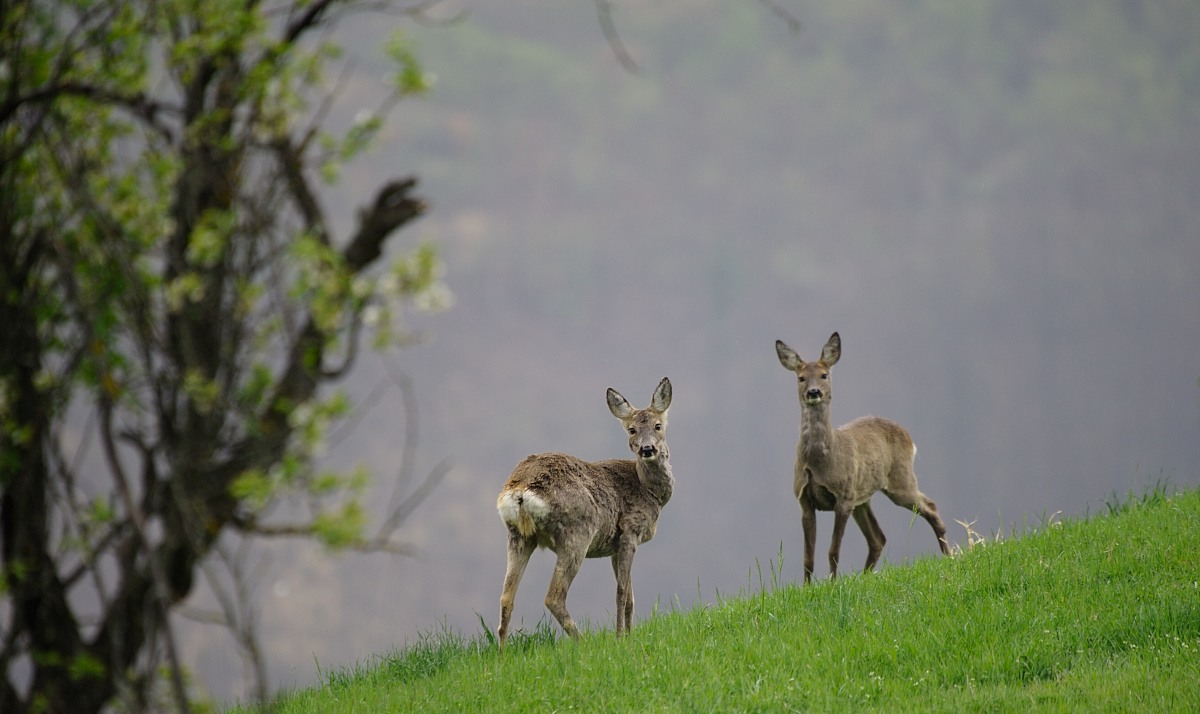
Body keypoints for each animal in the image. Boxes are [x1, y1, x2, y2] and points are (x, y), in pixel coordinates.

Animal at [495, 377, 673, 650]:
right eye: (631, 429)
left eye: (657, 425)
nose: (647, 449)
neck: (648, 490)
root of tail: (520, 489)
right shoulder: (630, 531)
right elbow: (622, 592)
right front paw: (620, 639)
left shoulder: (615, 546)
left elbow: (630, 597)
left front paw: (629, 636)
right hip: (577, 533)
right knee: (553, 597)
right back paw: (583, 642)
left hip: (519, 536)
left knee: (506, 597)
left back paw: (502, 653)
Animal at [775, 332, 949, 583]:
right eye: (801, 378)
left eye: (824, 375)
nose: (814, 392)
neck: (821, 462)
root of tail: (909, 438)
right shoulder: (804, 499)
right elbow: (808, 557)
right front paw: (807, 587)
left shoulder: (844, 496)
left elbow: (833, 550)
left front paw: (833, 583)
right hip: (864, 497)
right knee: (878, 538)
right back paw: (865, 576)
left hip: (899, 481)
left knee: (930, 506)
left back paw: (949, 555)